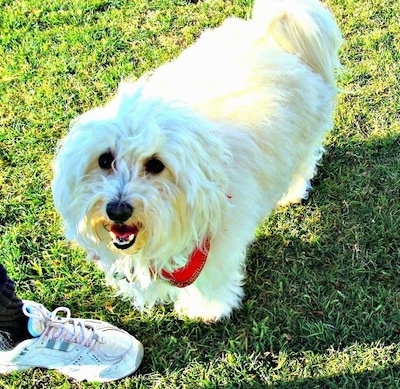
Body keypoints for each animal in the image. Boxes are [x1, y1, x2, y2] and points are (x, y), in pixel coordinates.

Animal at [51, 0, 342, 322]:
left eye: (156, 165)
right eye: (105, 159)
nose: (117, 210)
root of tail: (269, 34)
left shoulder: (216, 245)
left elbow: (211, 282)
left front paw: (208, 310)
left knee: (304, 163)